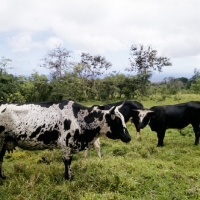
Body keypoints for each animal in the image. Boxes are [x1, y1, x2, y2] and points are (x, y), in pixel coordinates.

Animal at [0, 100, 131, 180]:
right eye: (117, 121)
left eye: (124, 119)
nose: (128, 137)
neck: (77, 118)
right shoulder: (65, 145)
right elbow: (67, 162)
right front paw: (69, 178)